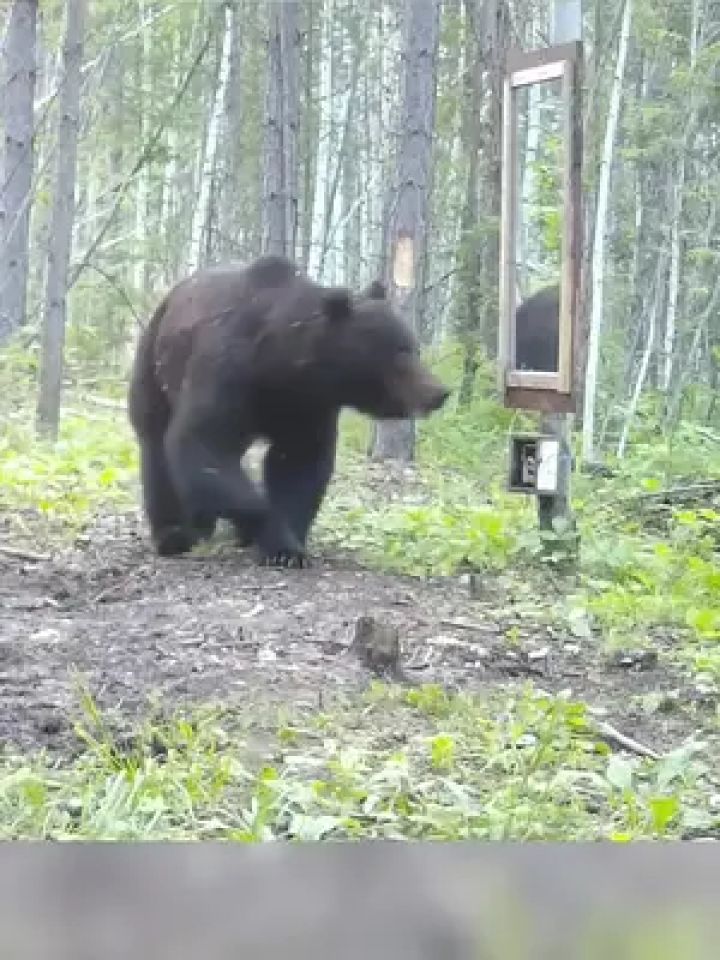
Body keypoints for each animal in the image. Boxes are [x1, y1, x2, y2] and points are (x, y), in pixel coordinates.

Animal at [126, 256, 448, 568]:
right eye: (400, 351)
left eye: (414, 347)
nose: (439, 393)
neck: (280, 366)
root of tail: (168, 298)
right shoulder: (228, 371)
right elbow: (203, 443)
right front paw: (273, 537)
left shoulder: (307, 405)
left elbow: (298, 464)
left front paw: (287, 543)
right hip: (153, 366)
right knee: (156, 447)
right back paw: (175, 534)